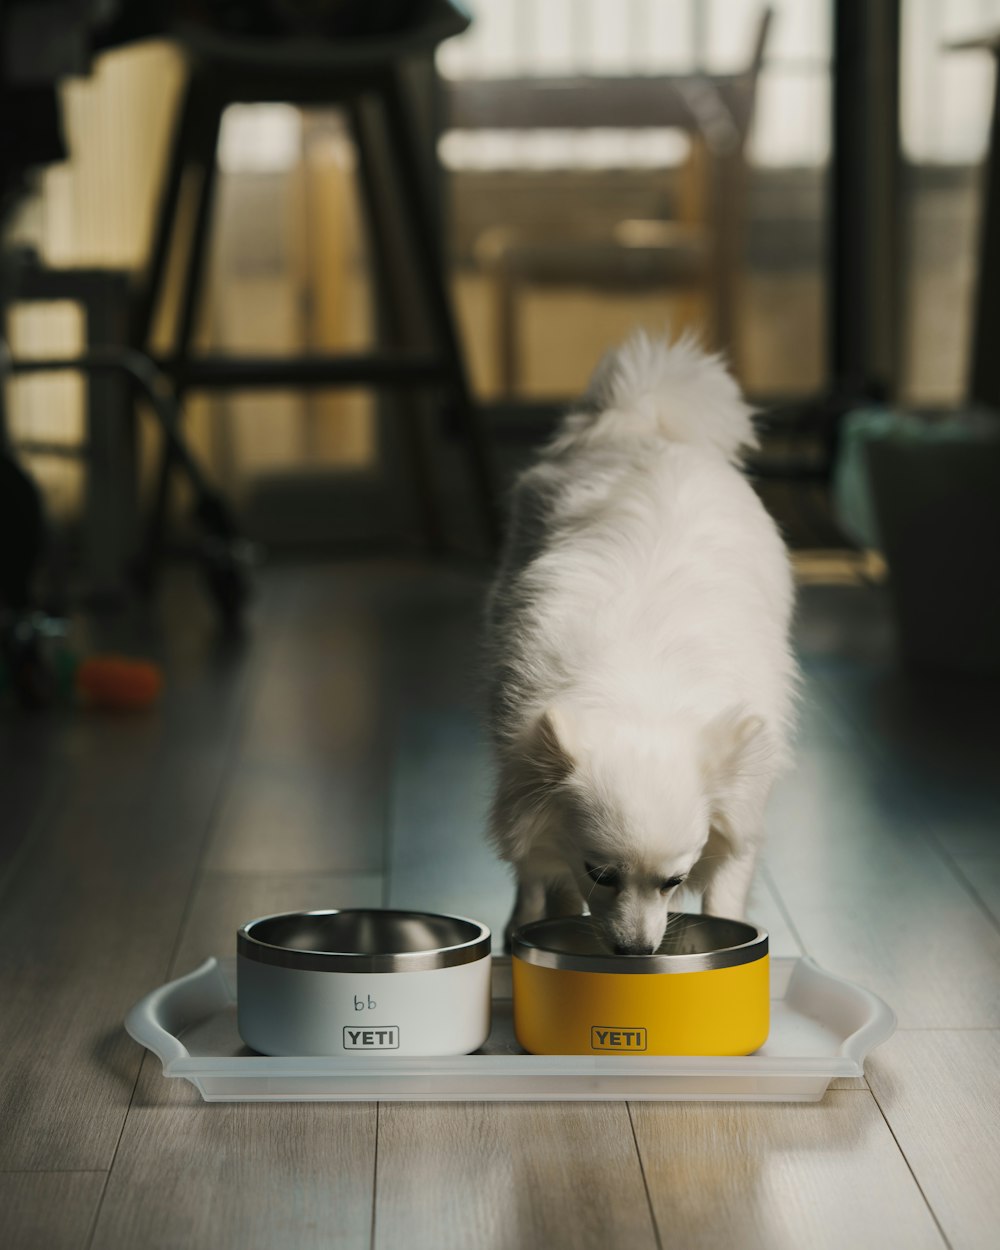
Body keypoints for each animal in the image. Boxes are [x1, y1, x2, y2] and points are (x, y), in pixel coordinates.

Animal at [485, 327, 795, 950]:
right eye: (600, 874)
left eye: (674, 881)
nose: (638, 950)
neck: (643, 695)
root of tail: (642, 426)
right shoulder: (537, 808)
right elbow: (545, 876)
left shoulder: (740, 812)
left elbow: (728, 888)